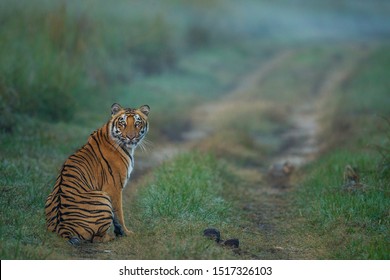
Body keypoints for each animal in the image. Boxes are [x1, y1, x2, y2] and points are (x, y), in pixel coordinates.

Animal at [44, 103, 149, 245]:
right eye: (123, 123)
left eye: (138, 123)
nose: (131, 137)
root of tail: (62, 228)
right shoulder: (114, 187)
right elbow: (119, 214)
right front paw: (125, 233)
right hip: (102, 198)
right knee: (95, 238)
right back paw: (109, 237)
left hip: (49, 198)